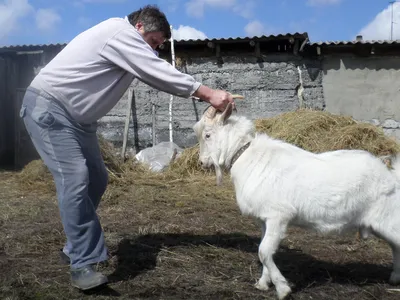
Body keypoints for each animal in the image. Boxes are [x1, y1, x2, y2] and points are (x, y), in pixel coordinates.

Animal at [192, 102, 400, 298]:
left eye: (208, 135)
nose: (202, 162)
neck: (246, 155)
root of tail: (391, 177)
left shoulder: (278, 216)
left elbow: (264, 251)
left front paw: (283, 289)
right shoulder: (264, 219)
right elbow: (263, 250)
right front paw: (263, 284)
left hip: (388, 219)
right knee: (395, 246)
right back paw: (394, 278)